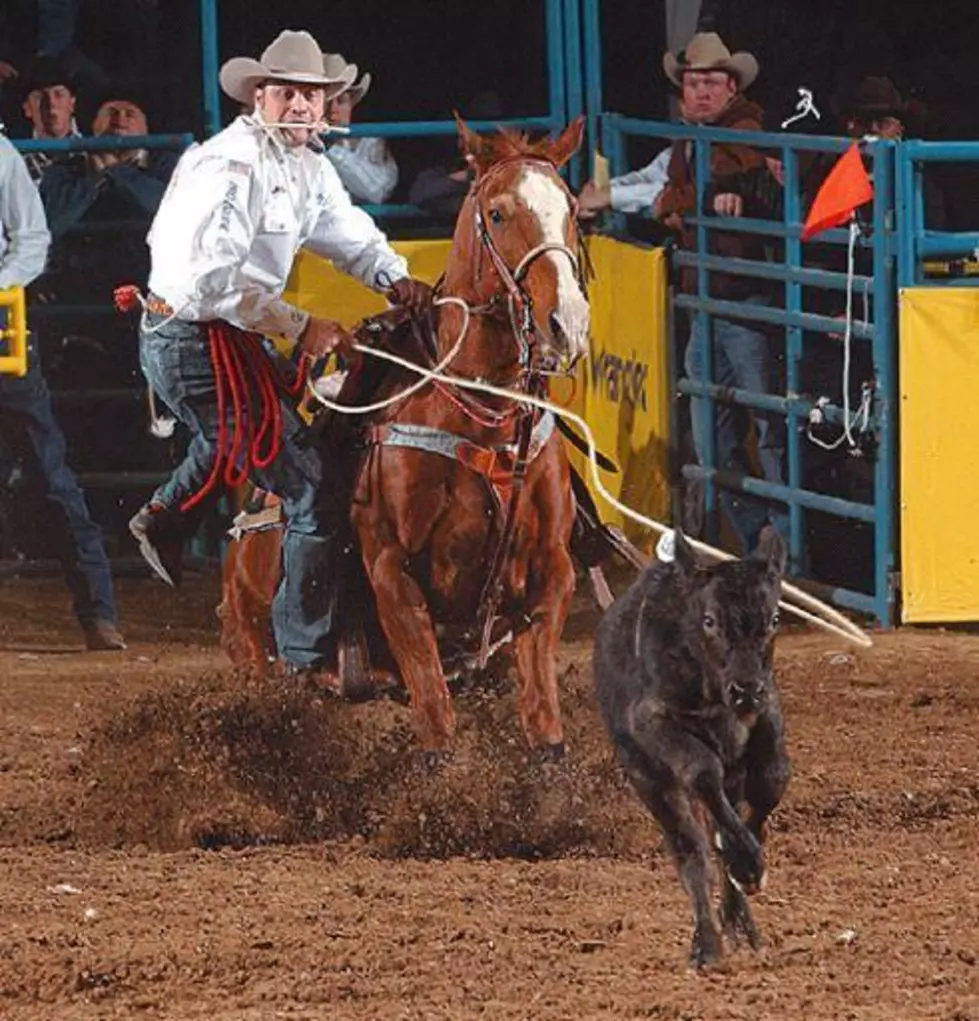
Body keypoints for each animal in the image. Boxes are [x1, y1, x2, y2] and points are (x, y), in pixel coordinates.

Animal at [220, 117, 588, 759]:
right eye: (497, 213)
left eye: (568, 208)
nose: (566, 320)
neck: (485, 420)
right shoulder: (394, 574)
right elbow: (437, 723)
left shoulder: (550, 572)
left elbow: (544, 726)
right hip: (254, 654)